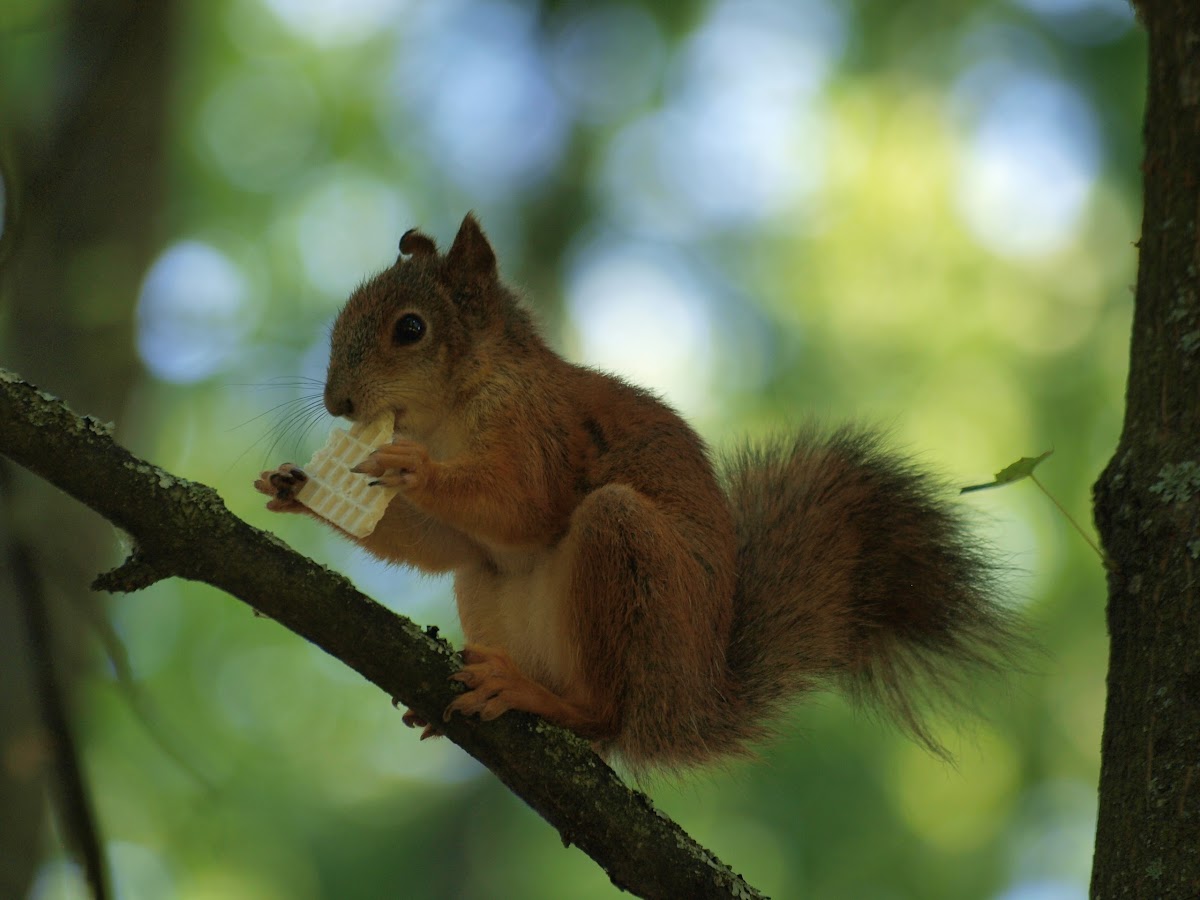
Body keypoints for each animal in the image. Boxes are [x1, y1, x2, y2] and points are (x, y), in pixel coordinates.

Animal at [255, 214, 1022, 772]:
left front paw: (416, 471)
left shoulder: (543, 432)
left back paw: (535, 696)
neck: (451, 410)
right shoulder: (462, 531)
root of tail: (684, 704)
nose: (337, 403)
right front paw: (291, 485)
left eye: (410, 329)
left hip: (623, 553)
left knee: (600, 713)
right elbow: (444, 543)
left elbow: (525, 504)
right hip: (490, 591)